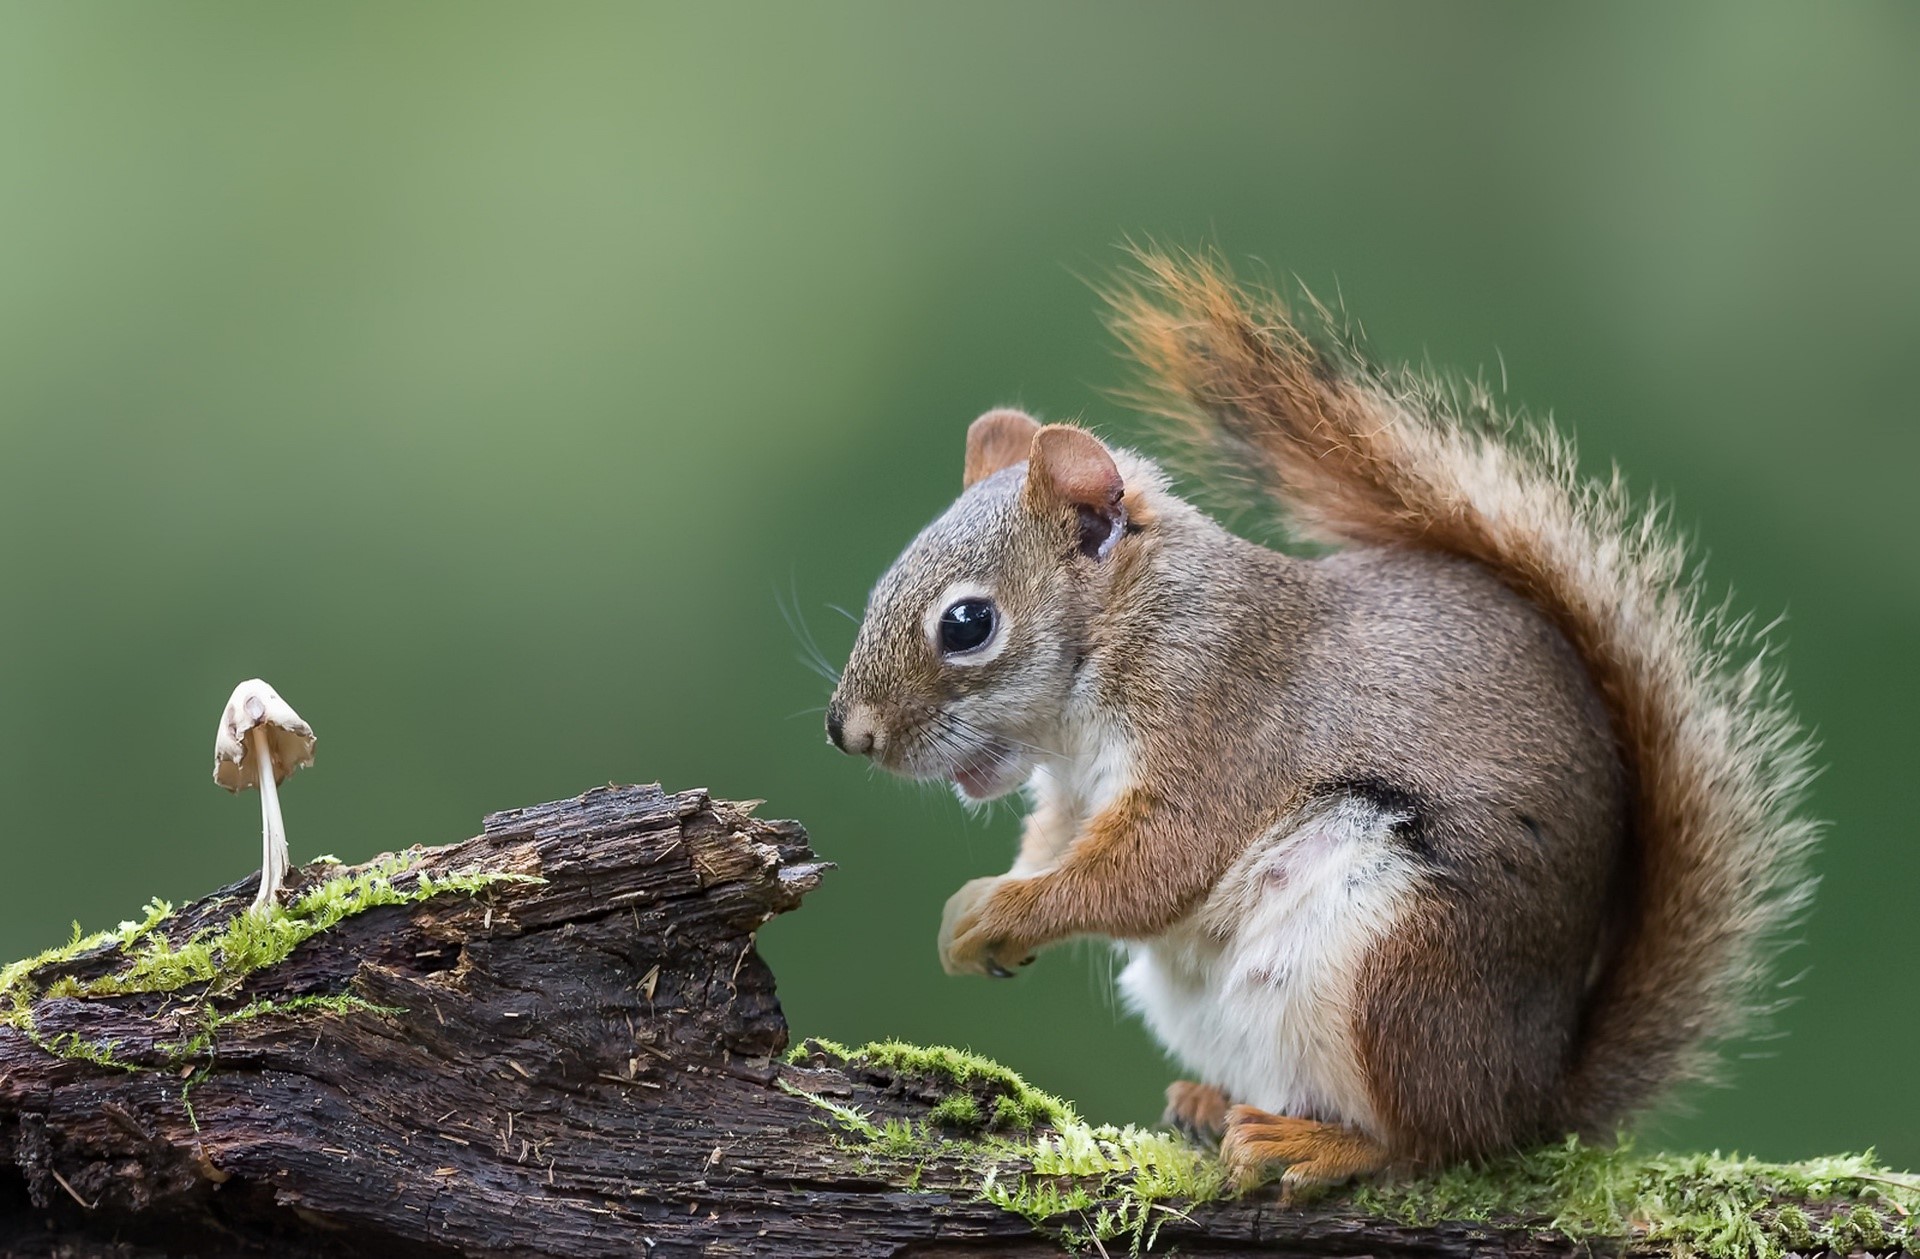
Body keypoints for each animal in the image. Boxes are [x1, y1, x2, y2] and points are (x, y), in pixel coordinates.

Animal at [825, 251, 1817, 1191]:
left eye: (967, 623)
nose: (848, 733)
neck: (1129, 632)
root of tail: (1535, 1092)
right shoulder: (1072, 793)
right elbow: (1057, 847)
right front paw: (983, 909)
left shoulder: (1217, 724)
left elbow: (1149, 871)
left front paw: (1004, 911)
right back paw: (1213, 1102)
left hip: (1400, 964)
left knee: (1437, 1142)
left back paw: (1321, 1144)